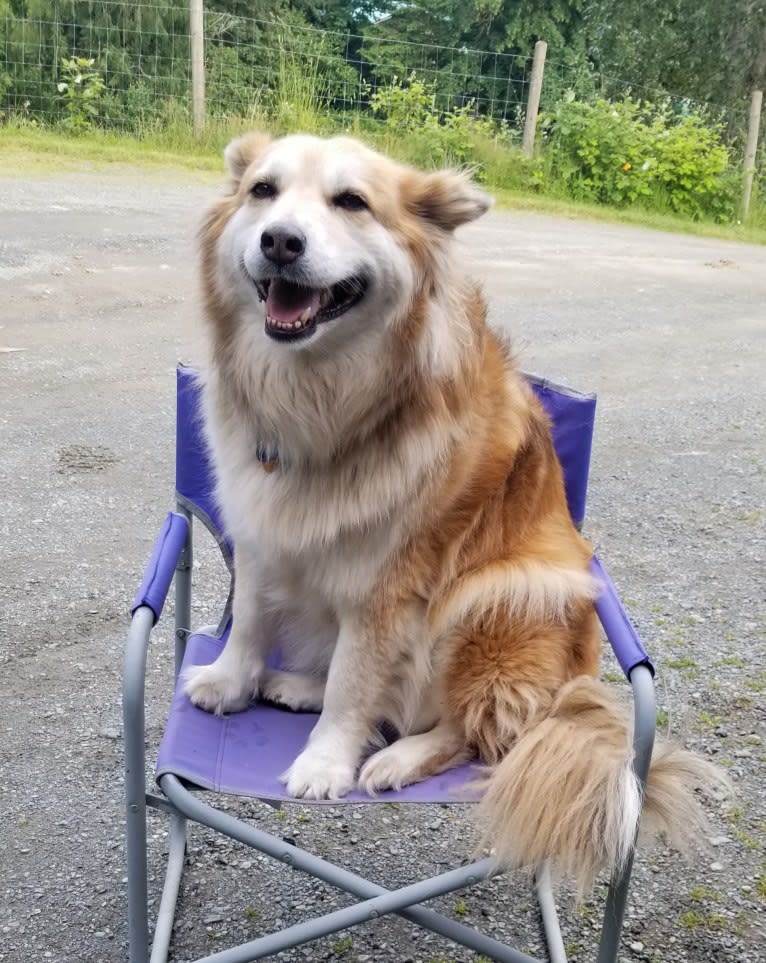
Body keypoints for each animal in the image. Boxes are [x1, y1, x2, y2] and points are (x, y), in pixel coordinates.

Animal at [183, 134, 728, 896]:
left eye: (351, 202)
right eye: (263, 190)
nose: (280, 241)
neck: (327, 401)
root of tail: (570, 691)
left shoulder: (389, 585)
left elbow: (355, 683)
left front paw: (325, 762)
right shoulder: (262, 533)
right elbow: (254, 621)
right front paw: (232, 681)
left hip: (499, 593)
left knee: (475, 728)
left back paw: (395, 756)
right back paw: (296, 685)